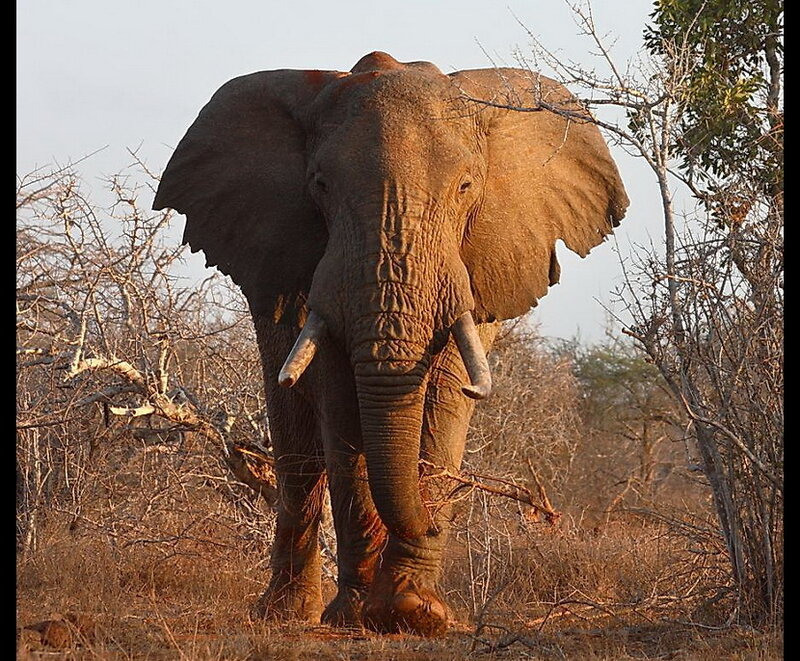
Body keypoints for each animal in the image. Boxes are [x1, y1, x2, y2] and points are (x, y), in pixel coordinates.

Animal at [153, 50, 628, 636]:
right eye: (320, 185)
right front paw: (356, 615)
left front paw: (413, 612)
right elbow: (340, 408)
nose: (438, 520)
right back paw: (286, 614)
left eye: (466, 186)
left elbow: (447, 404)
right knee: (297, 449)